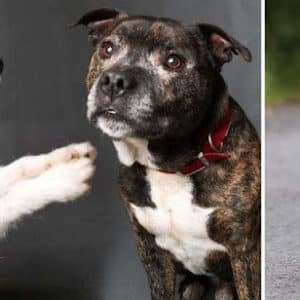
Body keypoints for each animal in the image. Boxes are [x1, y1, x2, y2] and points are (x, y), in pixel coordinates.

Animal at [74, 8, 260, 298]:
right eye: (107, 48)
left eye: (174, 61)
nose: (114, 80)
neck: (173, 166)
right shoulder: (153, 256)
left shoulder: (245, 253)